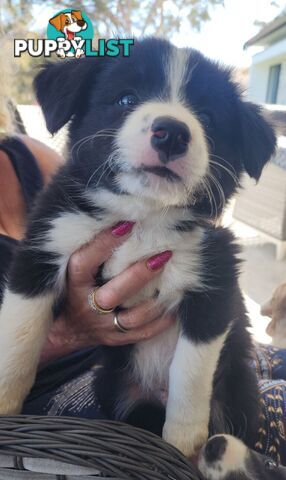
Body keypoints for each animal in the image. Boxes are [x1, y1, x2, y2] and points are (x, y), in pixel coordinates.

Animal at [0, 37, 276, 458]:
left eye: (207, 117)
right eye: (126, 99)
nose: (172, 132)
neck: (143, 218)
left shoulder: (213, 283)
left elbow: (190, 371)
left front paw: (183, 440)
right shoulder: (43, 247)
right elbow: (20, 332)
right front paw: (4, 401)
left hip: (240, 394)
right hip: (112, 386)